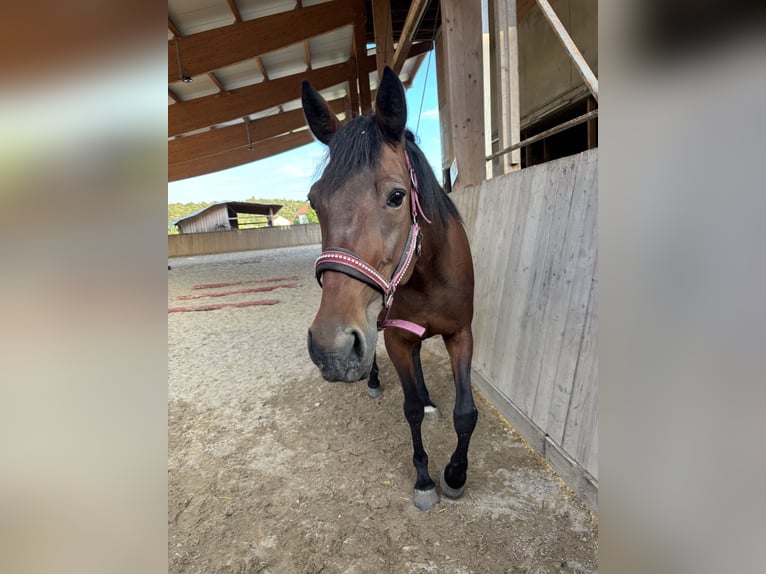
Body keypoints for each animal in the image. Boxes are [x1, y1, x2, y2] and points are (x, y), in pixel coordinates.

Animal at [301, 66, 478, 511]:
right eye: (313, 201)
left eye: (397, 196)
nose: (331, 349)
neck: (426, 273)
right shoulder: (395, 335)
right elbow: (410, 408)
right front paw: (424, 480)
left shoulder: (460, 333)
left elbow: (465, 413)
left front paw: (455, 475)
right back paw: (375, 380)